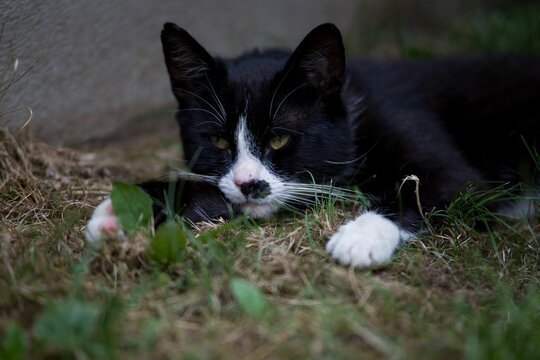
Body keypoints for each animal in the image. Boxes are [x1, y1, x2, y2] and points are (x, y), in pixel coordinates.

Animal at [84, 21, 540, 268]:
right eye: (216, 139)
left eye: (280, 137)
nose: (250, 184)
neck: (355, 118)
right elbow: (216, 194)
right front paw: (120, 211)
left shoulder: (439, 155)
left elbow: (428, 186)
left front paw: (360, 236)